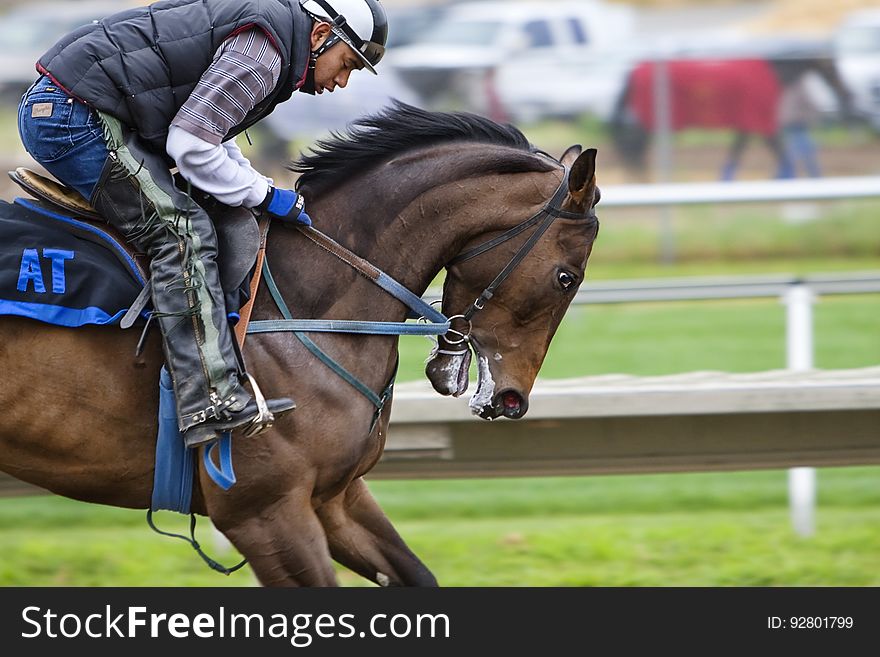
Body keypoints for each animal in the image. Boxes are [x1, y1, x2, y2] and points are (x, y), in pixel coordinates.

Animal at [0, 101, 600, 584]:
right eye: (566, 277)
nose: (511, 400)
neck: (305, 301)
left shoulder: (335, 497)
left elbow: (417, 575)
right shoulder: (263, 512)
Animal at [608, 53, 856, 179]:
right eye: (831, 66)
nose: (847, 94)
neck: (772, 73)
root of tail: (634, 70)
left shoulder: (746, 125)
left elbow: (737, 154)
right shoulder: (760, 123)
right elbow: (782, 154)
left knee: (632, 145)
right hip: (649, 121)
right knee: (633, 144)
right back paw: (638, 175)